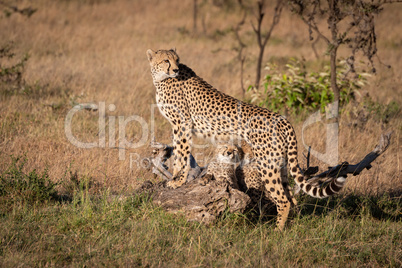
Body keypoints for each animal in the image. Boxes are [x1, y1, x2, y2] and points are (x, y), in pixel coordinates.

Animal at [146, 48, 348, 230]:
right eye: (166, 60)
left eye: (177, 60)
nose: (175, 69)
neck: (160, 79)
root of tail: (282, 119)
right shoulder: (181, 125)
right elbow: (180, 152)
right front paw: (177, 179)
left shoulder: (182, 124)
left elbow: (181, 153)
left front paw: (177, 181)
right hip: (280, 163)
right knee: (291, 196)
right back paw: (292, 224)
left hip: (267, 164)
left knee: (283, 199)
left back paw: (277, 231)